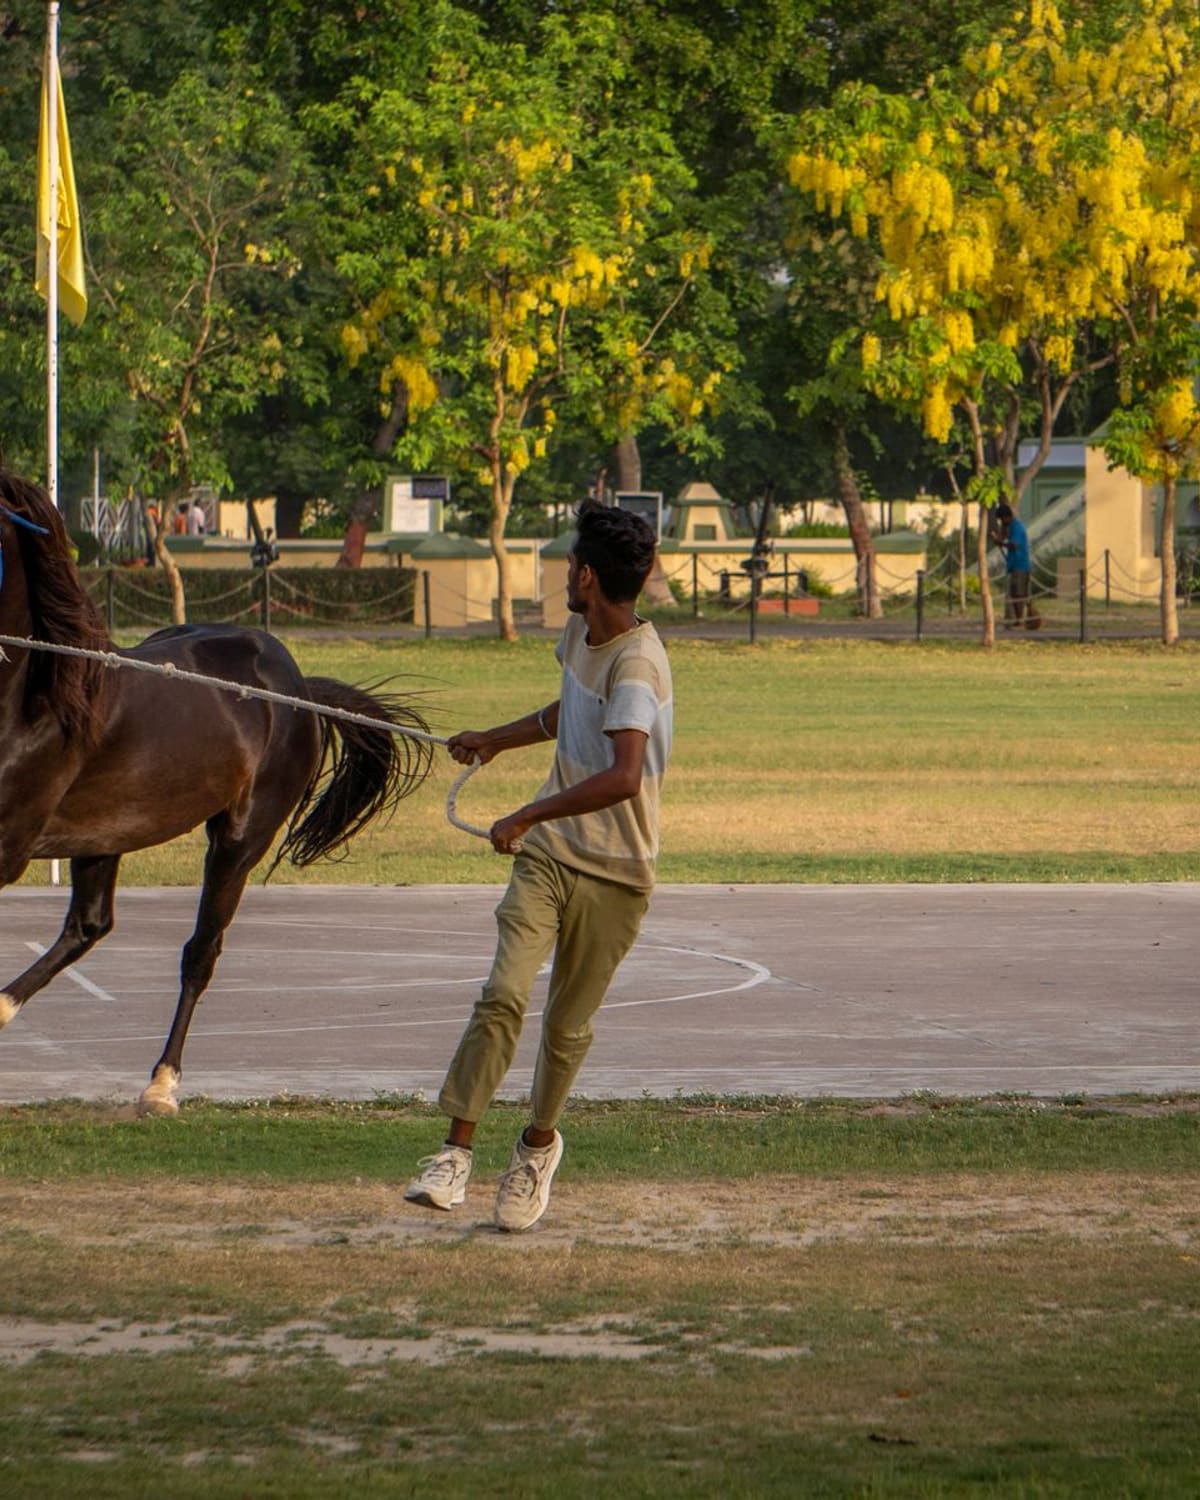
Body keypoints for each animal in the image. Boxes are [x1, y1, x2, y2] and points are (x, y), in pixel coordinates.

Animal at [0, 469, 434, 1115]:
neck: (37, 697)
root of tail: (299, 687)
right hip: (104, 835)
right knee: (89, 926)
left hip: (239, 839)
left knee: (199, 952)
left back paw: (162, 1084)